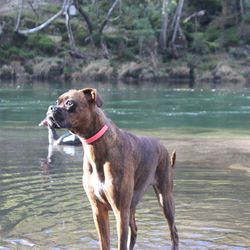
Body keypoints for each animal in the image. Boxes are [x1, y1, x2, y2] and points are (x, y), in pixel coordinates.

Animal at [46, 88, 179, 250]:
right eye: (57, 101)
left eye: (69, 103)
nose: (51, 108)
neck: (95, 147)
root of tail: (163, 147)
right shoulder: (99, 211)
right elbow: (105, 243)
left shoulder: (120, 212)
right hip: (132, 206)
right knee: (134, 230)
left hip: (164, 199)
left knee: (174, 232)